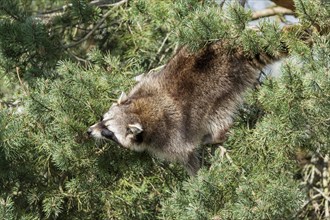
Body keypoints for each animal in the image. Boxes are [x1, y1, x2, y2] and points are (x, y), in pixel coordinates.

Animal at [87, 40, 286, 175]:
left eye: (108, 131)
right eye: (102, 119)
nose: (89, 131)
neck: (141, 111)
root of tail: (232, 52)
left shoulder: (170, 137)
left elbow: (188, 157)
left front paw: (197, 179)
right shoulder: (143, 87)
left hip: (226, 87)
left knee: (219, 115)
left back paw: (216, 135)